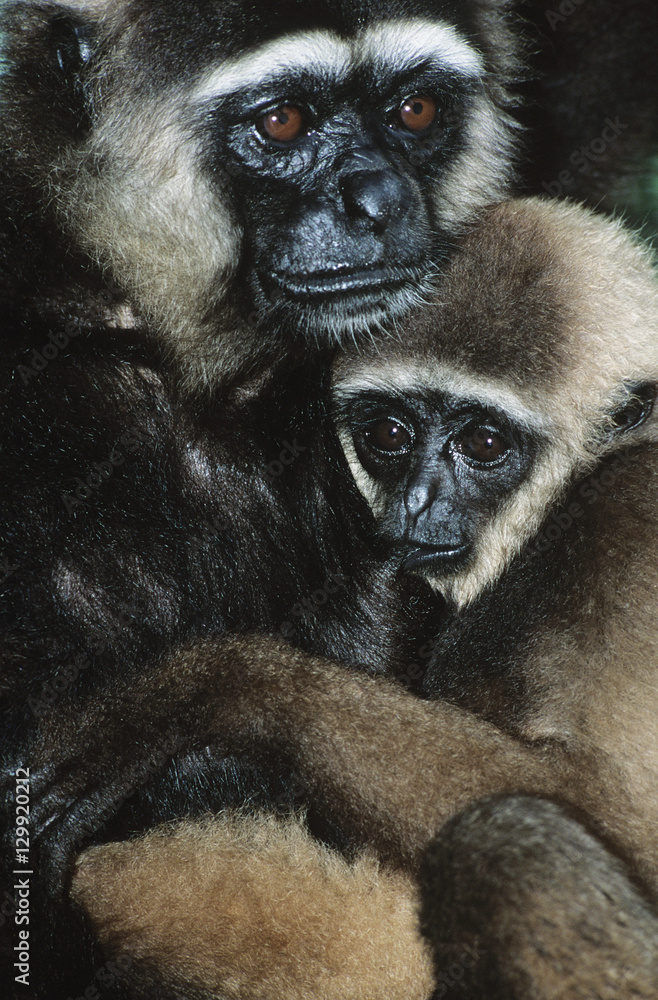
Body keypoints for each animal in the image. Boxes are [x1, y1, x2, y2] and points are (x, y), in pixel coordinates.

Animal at [49, 198, 658, 997]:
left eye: (484, 445)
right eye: (389, 433)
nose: (417, 501)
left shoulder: (634, 519)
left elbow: (610, 810)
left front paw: (204, 690)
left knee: (501, 841)